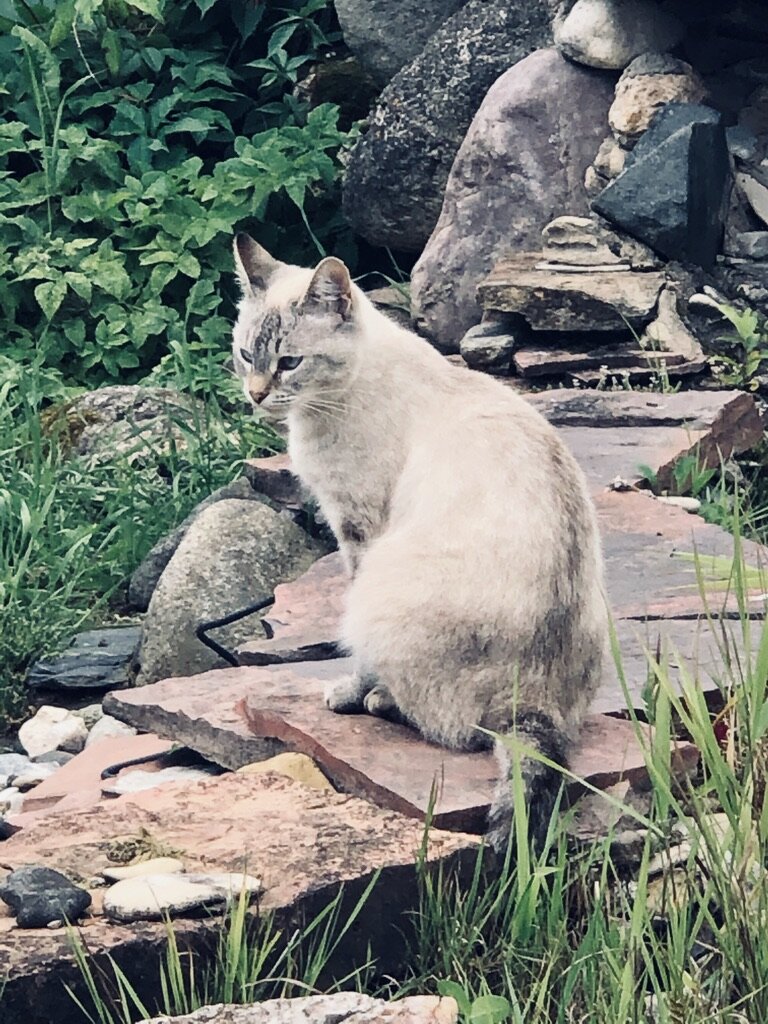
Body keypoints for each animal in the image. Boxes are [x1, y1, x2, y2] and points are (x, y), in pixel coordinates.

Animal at [231, 235, 610, 851]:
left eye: (289, 362)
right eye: (246, 355)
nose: (256, 395)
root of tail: (536, 703)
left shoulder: (358, 529)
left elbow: (358, 659)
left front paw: (348, 692)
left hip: (383, 593)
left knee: (456, 729)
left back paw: (381, 700)